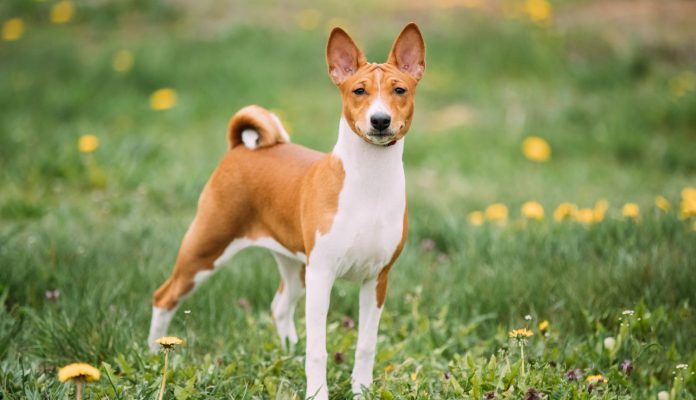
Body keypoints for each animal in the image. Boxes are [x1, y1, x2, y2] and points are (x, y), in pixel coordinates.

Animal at [148, 22, 424, 400]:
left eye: (399, 90)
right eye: (359, 91)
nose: (380, 120)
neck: (369, 184)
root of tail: (241, 149)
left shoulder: (376, 278)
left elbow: (366, 345)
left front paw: (361, 391)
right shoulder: (323, 274)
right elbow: (318, 350)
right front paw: (317, 393)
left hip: (294, 265)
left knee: (280, 305)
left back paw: (288, 350)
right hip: (206, 248)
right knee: (164, 296)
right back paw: (151, 354)